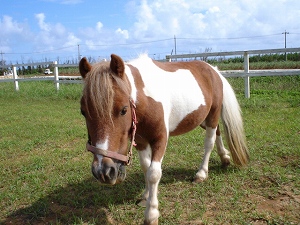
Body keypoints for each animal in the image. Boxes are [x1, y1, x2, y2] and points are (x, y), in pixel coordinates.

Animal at [79, 53, 248, 224]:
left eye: (124, 110)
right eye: (83, 112)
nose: (104, 172)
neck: (145, 100)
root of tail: (214, 70)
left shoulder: (160, 139)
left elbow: (154, 173)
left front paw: (151, 213)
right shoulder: (141, 140)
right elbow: (146, 167)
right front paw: (146, 195)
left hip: (213, 115)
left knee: (209, 143)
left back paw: (201, 173)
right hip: (202, 119)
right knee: (218, 132)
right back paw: (224, 158)